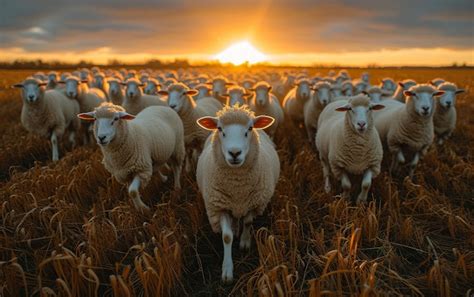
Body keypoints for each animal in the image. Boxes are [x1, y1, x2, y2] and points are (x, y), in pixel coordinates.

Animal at [195, 104, 280, 282]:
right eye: (220, 129)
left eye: (250, 128)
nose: (235, 153)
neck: (237, 188)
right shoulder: (219, 207)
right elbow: (226, 237)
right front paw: (227, 270)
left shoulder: (254, 204)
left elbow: (248, 222)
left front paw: (245, 243)